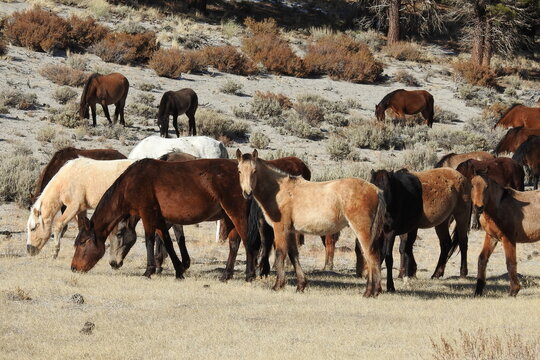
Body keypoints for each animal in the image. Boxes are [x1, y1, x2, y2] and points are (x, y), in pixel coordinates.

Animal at [71, 158, 258, 282]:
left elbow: (149, 240)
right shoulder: (159, 219)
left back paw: (250, 275)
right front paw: (179, 271)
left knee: (248, 241)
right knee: (234, 244)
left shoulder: (147, 214)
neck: (131, 182)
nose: (73, 267)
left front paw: (149, 271)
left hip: (236, 214)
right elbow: (167, 242)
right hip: (229, 216)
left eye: (82, 242)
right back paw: (226, 275)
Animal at [237, 148, 388, 296]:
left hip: (362, 230)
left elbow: (280, 254)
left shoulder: (281, 229)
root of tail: (376, 190)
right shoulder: (291, 231)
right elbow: (293, 255)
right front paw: (300, 286)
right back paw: (373, 290)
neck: (280, 191)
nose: (247, 193)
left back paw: (370, 292)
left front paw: (278, 285)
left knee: (371, 255)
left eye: (254, 171)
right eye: (239, 171)